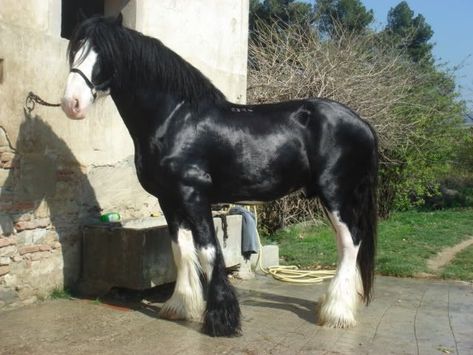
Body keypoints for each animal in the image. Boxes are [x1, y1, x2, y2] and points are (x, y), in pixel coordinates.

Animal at [61, 16, 376, 338]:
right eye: (75, 50)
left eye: (104, 54)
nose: (71, 103)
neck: (175, 120)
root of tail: (362, 123)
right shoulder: (168, 199)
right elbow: (181, 250)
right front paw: (180, 306)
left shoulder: (194, 196)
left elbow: (209, 251)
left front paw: (221, 320)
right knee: (346, 244)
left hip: (336, 194)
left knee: (351, 242)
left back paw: (337, 313)